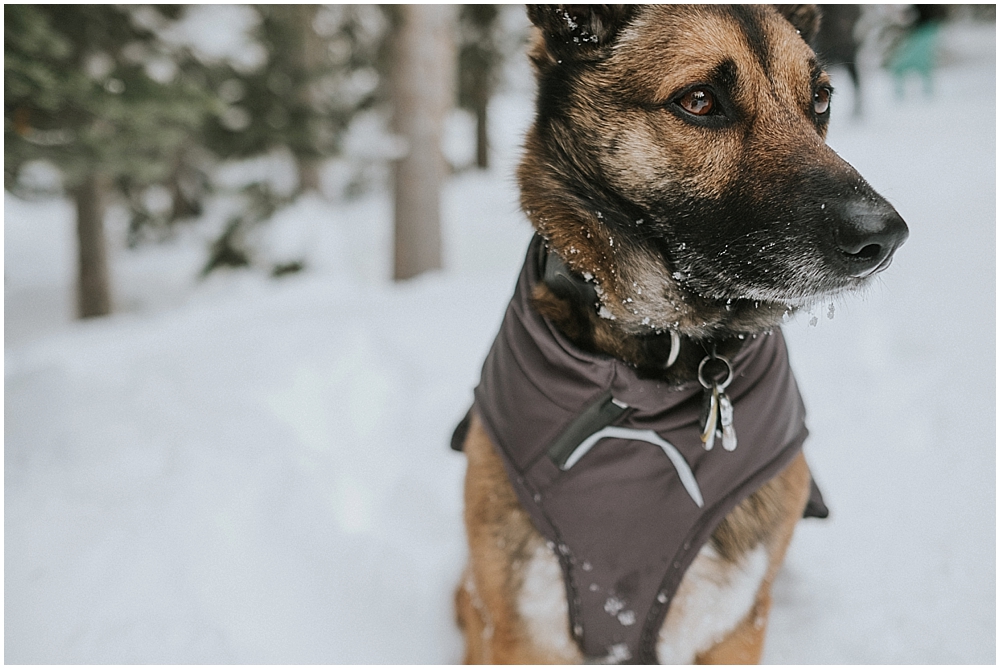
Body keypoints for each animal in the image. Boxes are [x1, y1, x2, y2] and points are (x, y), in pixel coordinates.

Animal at [454, 5, 908, 664]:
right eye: (699, 101)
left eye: (820, 100)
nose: (885, 237)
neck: (662, 349)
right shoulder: (520, 631)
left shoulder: (732, 624)